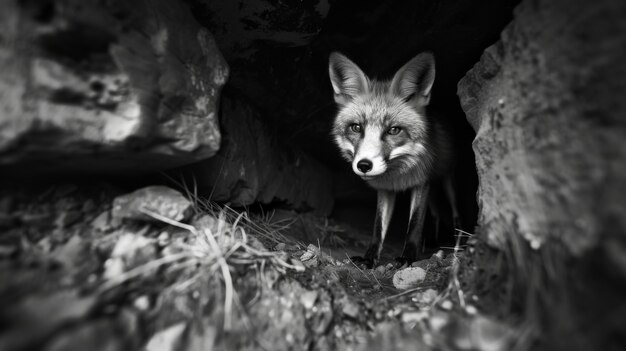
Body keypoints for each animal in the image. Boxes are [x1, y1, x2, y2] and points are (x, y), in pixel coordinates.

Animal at [326, 51, 458, 266]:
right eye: (356, 127)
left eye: (394, 130)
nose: (364, 165)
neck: (397, 175)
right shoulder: (386, 189)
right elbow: (378, 227)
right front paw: (369, 259)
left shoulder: (421, 183)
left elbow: (415, 224)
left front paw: (408, 257)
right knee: (437, 213)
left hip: (448, 184)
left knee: (456, 214)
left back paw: (458, 244)